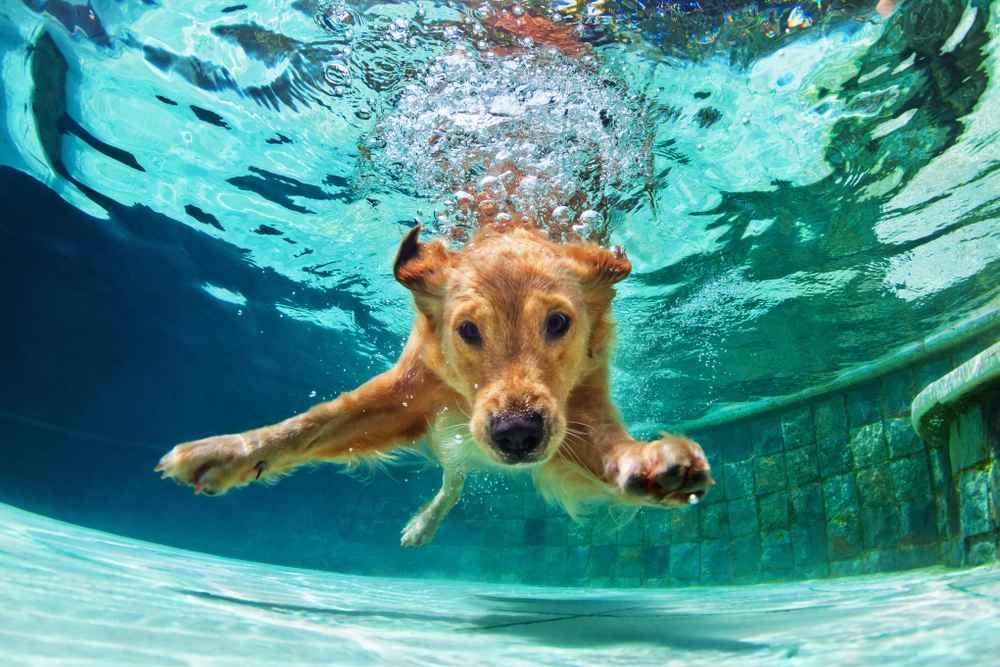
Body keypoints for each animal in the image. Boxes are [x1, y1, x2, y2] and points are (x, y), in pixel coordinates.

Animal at [158, 226, 712, 548]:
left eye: (558, 322)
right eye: (467, 329)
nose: (517, 433)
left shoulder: (579, 409)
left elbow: (611, 449)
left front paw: (653, 465)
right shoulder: (406, 393)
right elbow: (311, 424)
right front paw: (226, 452)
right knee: (453, 479)